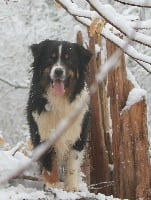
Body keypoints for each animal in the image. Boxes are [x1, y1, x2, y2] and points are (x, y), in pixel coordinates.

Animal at [26, 39, 91, 191]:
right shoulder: (42, 133)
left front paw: (71, 188)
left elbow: (73, 162)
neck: (59, 100)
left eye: (69, 59)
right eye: (51, 58)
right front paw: (53, 186)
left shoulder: (78, 134)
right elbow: (50, 163)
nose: (58, 71)